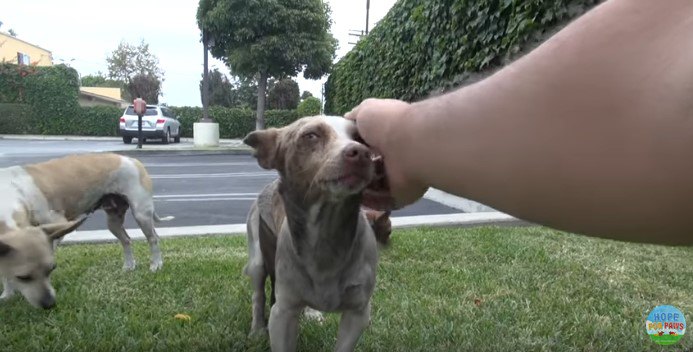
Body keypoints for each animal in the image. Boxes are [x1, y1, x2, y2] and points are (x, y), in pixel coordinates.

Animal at [0, 153, 173, 308]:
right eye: (23, 277)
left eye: (51, 269)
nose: (49, 304)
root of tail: (132, 159)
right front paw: (7, 294)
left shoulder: (56, 225)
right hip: (113, 221)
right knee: (126, 240)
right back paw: (129, 265)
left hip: (141, 214)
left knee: (153, 238)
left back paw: (156, 264)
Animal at [243, 116, 382, 352]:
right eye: (311, 136)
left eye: (360, 137)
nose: (361, 152)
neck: (325, 234)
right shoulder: (282, 314)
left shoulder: (358, 313)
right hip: (257, 259)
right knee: (258, 295)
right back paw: (256, 329)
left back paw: (312, 312)